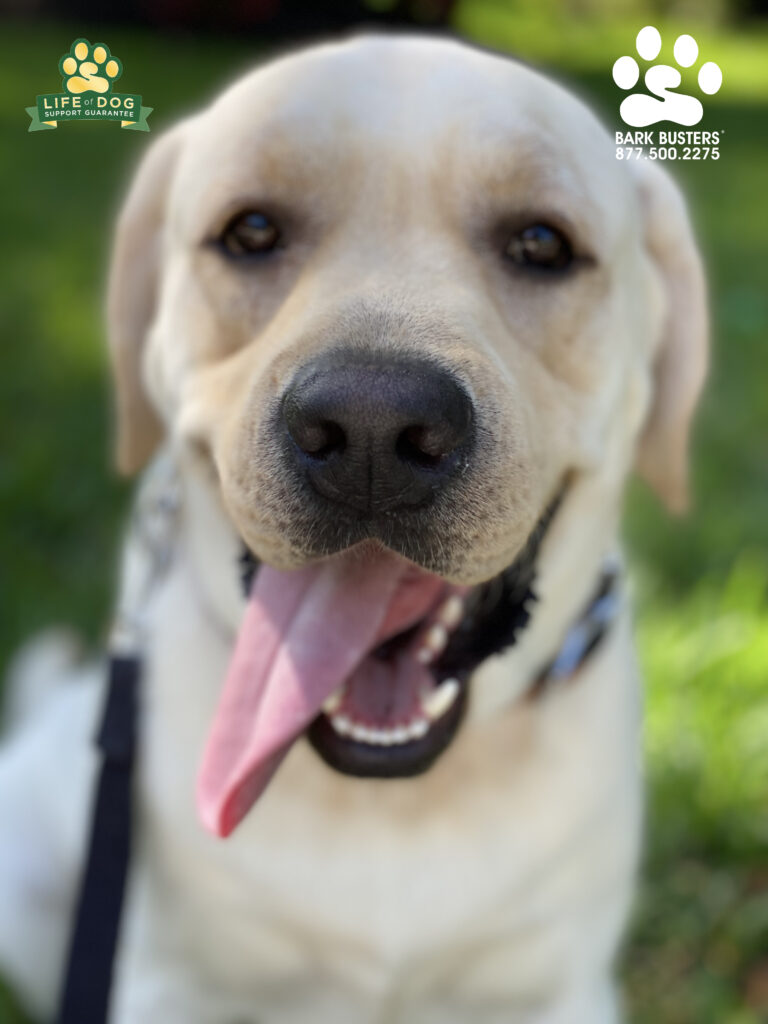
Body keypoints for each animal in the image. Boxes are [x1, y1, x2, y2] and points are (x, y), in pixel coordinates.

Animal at [0, 34, 707, 1024]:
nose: (373, 428)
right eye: (251, 231)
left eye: (541, 244)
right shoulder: (168, 984)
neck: (390, 794)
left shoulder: (561, 988)